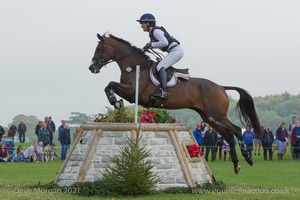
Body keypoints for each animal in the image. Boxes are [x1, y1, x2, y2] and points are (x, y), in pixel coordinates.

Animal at [88, 32, 260, 173]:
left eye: (99, 49)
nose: (92, 67)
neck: (134, 67)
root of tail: (220, 87)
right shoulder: (130, 93)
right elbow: (109, 86)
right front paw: (117, 103)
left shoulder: (133, 92)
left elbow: (110, 84)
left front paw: (115, 102)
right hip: (209, 117)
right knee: (229, 137)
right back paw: (236, 165)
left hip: (216, 116)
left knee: (236, 130)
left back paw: (248, 157)